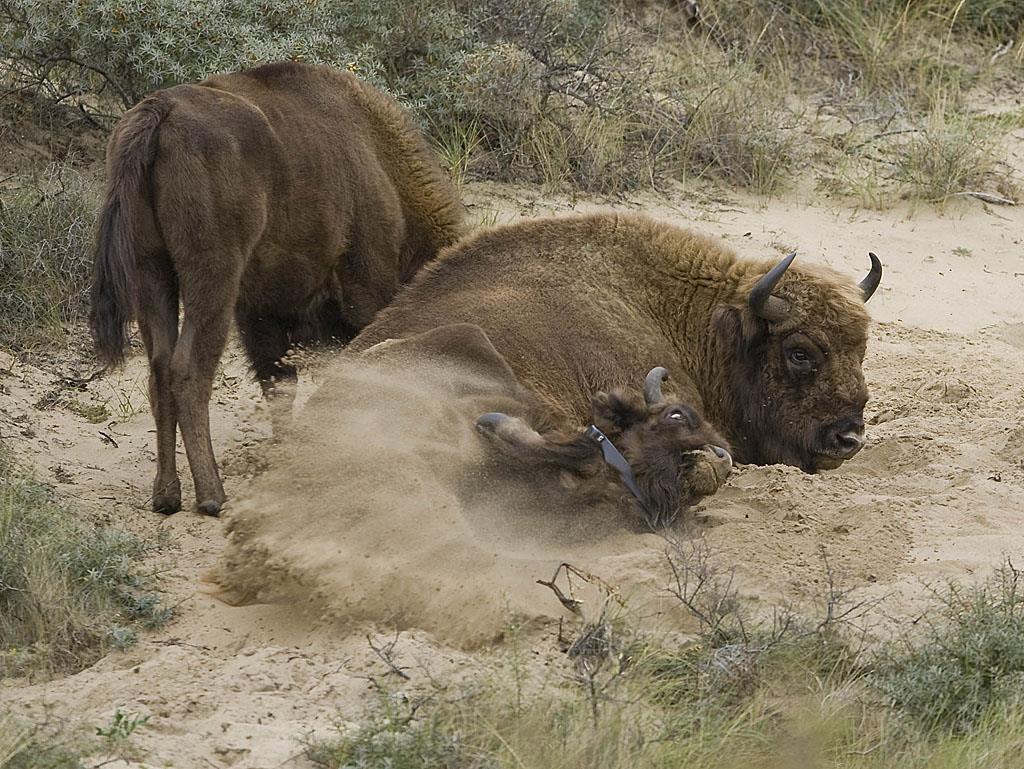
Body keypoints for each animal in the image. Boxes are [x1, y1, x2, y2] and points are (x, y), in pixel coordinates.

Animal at [90, 61, 466, 518]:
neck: (381, 164)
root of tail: (162, 110)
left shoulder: (262, 310)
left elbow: (279, 383)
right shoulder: (364, 290)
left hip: (152, 272)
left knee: (160, 369)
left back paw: (166, 495)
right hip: (212, 275)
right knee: (188, 370)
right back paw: (212, 496)